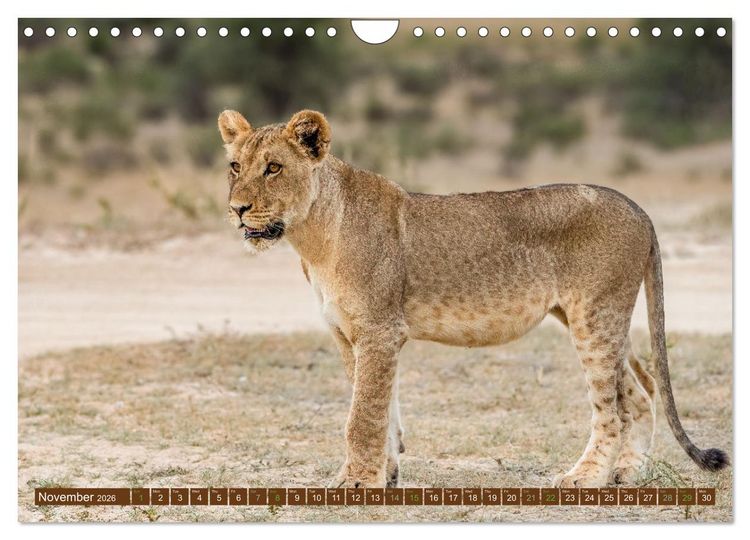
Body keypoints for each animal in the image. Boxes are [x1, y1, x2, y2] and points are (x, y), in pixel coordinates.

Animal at [217, 108, 729, 488]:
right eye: (235, 167)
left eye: (274, 168)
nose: (237, 209)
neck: (312, 237)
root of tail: (638, 207)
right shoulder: (349, 336)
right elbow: (382, 409)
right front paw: (384, 475)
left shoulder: (379, 331)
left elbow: (362, 416)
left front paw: (357, 483)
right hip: (595, 315)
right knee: (640, 389)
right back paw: (627, 473)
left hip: (595, 316)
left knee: (610, 407)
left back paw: (585, 477)